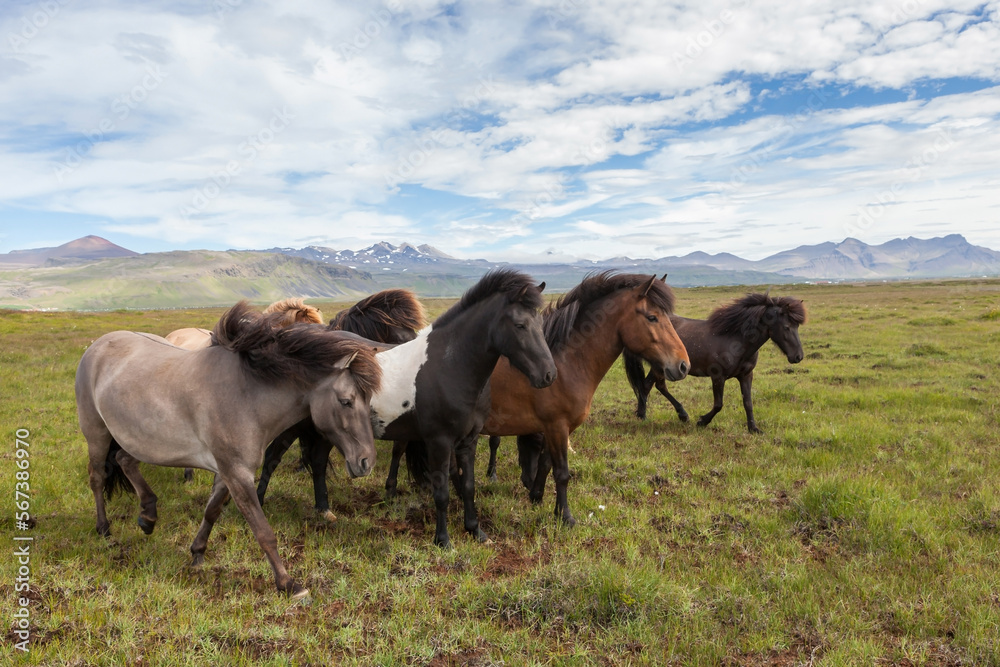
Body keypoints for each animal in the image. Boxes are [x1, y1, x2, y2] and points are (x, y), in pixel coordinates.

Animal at [396, 272, 691, 527]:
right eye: (652, 317)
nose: (683, 365)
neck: (567, 362)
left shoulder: (556, 428)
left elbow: (547, 465)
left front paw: (538, 497)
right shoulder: (557, 426)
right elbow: (562, 473)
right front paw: (566, 517)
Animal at [624, 292, 806, 433]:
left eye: (797, 326)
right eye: (787, 327)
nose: (798, 356)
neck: (736, 341)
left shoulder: (746, 375)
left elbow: (748, 402)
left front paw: (753, 429)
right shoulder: (718, 377)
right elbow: (718, 404)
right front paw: (702, 421)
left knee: (650, 385)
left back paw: (649, 414)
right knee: (652, 385)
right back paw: (663, 415)